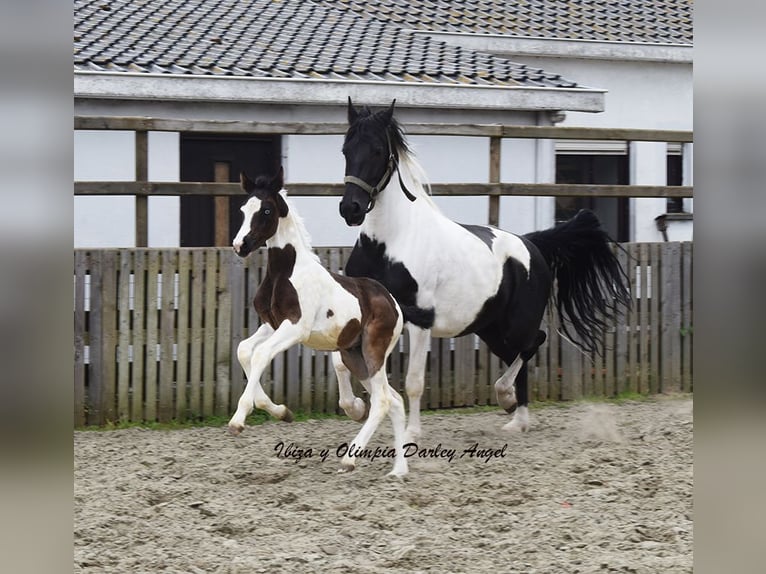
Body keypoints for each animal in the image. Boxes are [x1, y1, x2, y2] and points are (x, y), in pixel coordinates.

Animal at [231, 166, 412, 476]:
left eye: (266, 210)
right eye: (244, 209)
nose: (239, 245)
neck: (286, 272)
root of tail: (392, 302)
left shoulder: (296, 328)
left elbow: (261, 354)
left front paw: (239, 419)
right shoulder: (271, 325)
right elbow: (245, 350)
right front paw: (282, 412)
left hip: (373, 352)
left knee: (383, 401)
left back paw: (350, 458)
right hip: (354, 356)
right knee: (395, 402)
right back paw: (398, 471)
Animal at [336, 100, 632, 440]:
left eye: (376, 150)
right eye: (346, 149)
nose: (351, 209)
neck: (389, 244)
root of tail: (532, 244)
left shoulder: (420, 319)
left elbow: (414, 381)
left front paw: (411, 433)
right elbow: (344, 364)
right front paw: (356, 408)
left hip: (516, 324)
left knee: (532, 344)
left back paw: (511, 405)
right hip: (489, 328)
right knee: (519, 354)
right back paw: (515, 414)